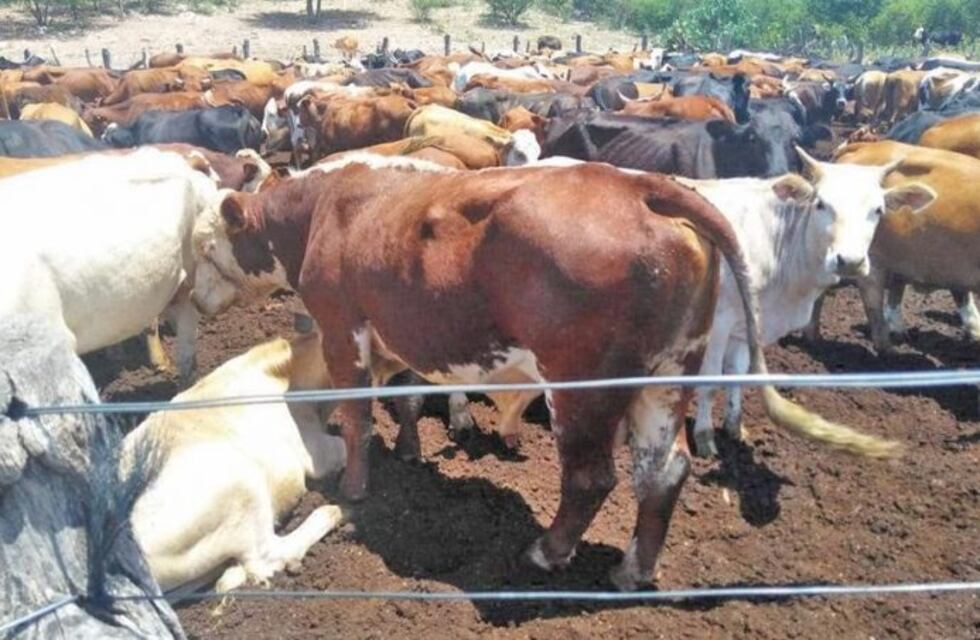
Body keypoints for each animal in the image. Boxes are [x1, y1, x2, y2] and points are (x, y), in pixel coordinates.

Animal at [188, 154, 898, 592]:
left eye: (206, 243)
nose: (192, 298)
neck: (328, 208)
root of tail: (637, 184)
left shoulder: (343, 330)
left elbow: (358, 418)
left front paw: (358, 489)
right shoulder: (402, 338)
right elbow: (409, 400)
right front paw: (414, 452)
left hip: (579, 387)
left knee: (590, 478)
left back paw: (547, 552)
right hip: (668, 373)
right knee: (663, 472)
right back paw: (634, 570)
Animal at [686, 149, 935, 457]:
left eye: (878, 210)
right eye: (821, 204)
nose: (849, 261)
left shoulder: (746, 324)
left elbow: (738, 373)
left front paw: (735, 429)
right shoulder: (719, 321)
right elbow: (709, 382)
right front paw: (705, 438)